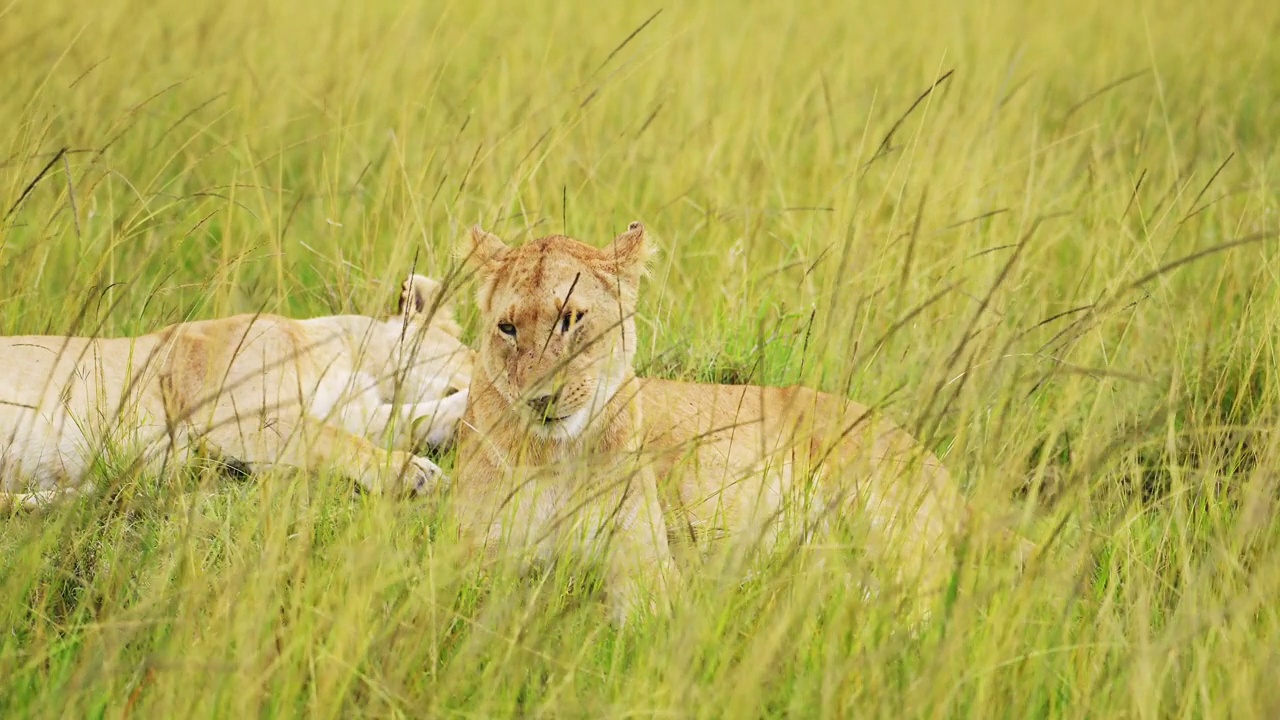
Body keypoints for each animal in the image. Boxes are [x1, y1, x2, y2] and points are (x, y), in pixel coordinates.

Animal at [453, 220, 1029, 622]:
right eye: (507, 328)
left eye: (571, 319)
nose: (539, 399)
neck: (554, 456)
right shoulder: (473, 563)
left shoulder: (646, 573)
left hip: (891, 522)